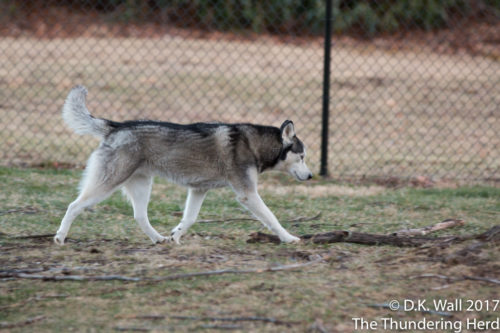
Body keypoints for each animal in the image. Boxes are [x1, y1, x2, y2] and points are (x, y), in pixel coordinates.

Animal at [54, 86, 312, 244]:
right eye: (302, 156)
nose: (310, 176)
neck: (254, 144)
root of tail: (116, 126)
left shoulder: (198, 190)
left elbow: (189, 219)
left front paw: (176, 235)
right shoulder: (247, 194)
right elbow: (272, 218)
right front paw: (289, 238)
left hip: (142, 185)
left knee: (139, 216)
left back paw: (158, 239)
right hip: (108, 184)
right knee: (74, 206)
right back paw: (60, 237)